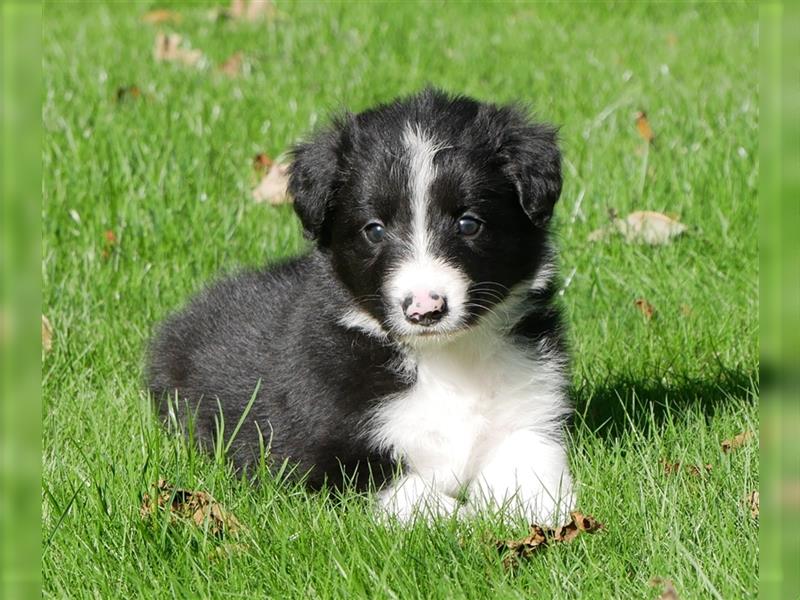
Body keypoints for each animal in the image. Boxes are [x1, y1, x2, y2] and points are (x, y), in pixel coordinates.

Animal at [147, 86, 576, 524]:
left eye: (468, 223)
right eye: (375, 229)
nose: (425, 309)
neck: (443, 360)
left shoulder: (527, 415)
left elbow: (531, 481)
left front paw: (535, 518)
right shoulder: (323, 452)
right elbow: (423, 501)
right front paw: (470, 522)